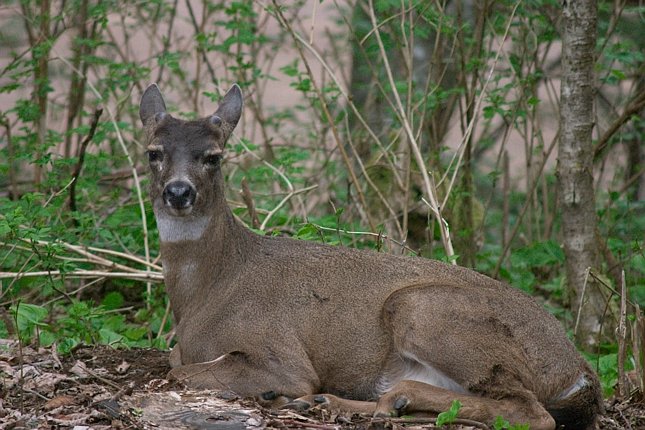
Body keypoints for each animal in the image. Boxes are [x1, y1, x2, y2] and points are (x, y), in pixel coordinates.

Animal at [138, 85, 600, 430]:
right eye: (153, 152)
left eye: (213, 157)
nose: (178, 192)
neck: (211, 289)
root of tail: (576, 367)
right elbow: (174, 358)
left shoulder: (280, 354)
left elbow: (180, 370)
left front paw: (274, 391)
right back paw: (347, 402)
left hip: (424, 307)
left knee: (532, 413)